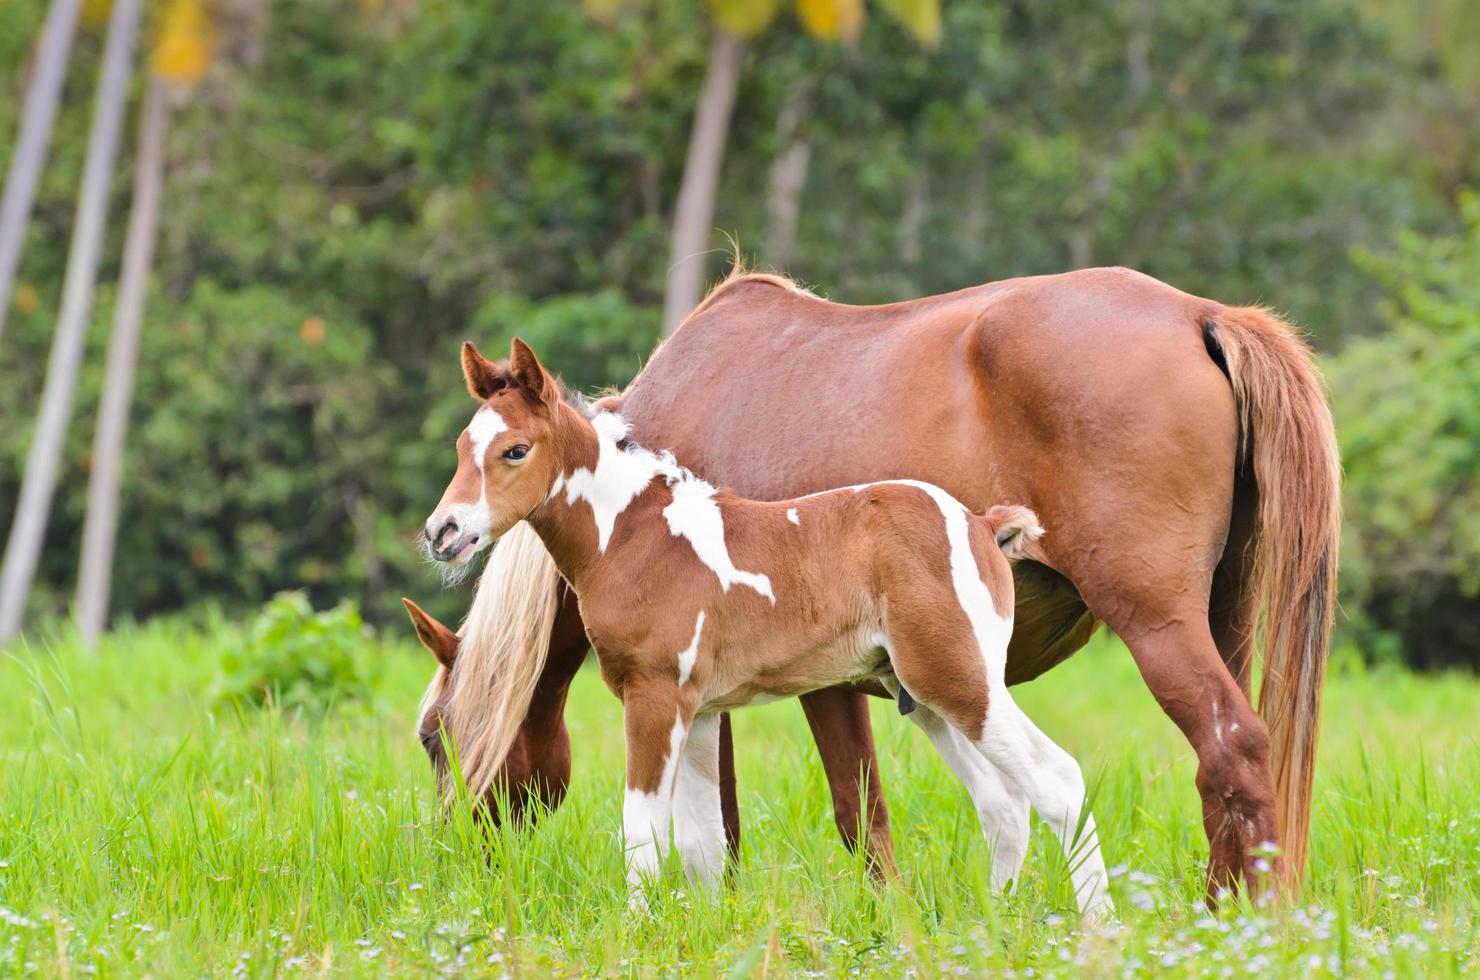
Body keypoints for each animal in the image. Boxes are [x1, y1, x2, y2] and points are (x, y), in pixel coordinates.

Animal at [417, 340, 1112, 923]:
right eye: (460, 448)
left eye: (515, 450)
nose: (442, 533)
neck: (638, 539)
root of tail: (981, 523)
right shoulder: (698, 711)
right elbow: (702, 840)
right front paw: (705, 934)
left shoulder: (654, 698)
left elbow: (642, 829)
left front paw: (638, 932)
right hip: (924, 696)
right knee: (1004, 805)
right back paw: (994, 924)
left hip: (960, 680)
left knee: (1056, 781)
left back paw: (1098, 928)